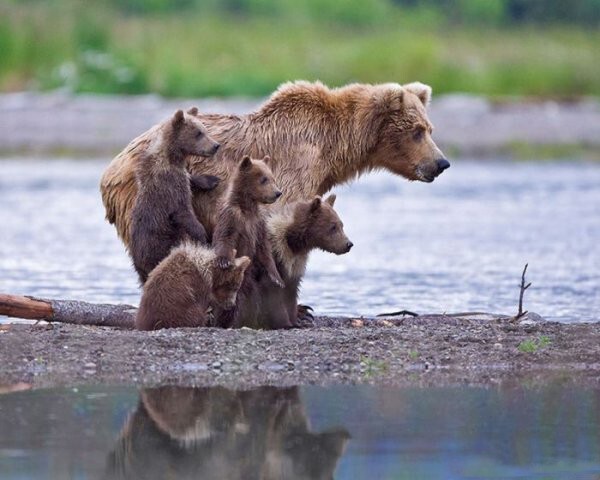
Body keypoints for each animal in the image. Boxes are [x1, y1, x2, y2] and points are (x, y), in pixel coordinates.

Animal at [101, 79, 448, 248]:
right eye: (417, 131)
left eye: (430, 128)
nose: (441, 162)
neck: (334, 144)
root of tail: (111, 167)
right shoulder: (296, 167)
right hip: (154, 194)